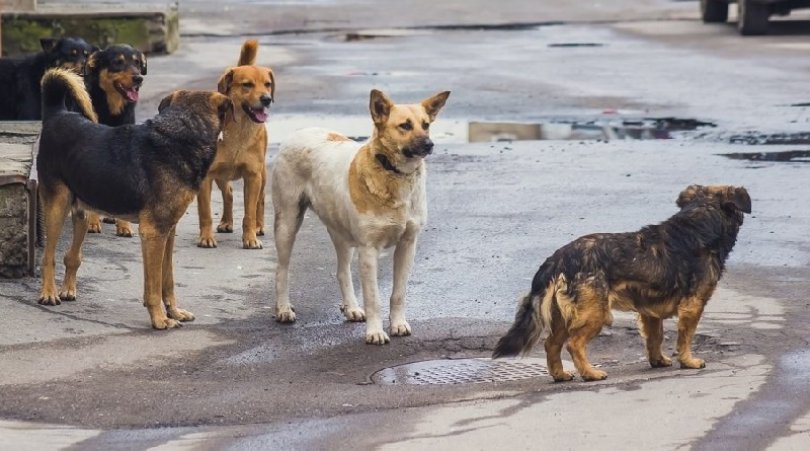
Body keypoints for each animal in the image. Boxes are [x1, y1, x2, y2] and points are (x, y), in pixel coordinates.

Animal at [83, 44, 150, 238]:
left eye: (137, 63)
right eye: (117, 62)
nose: (138, 78)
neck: (111, 111)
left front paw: (124, 226)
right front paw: (92, 222)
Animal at [270, 89, 448, 346]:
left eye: (426, 125)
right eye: (405, 126)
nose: (429, 144)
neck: (393, 173)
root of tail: (300, 131)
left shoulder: (407, 245)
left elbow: (398, 293)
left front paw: (398, 324)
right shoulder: (369, 250)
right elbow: (373, 298)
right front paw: (375, 332)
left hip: (341, 233)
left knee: (342, 271)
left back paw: (351, 308)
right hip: (287, 223)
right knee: (281, 270)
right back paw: (283, 309)